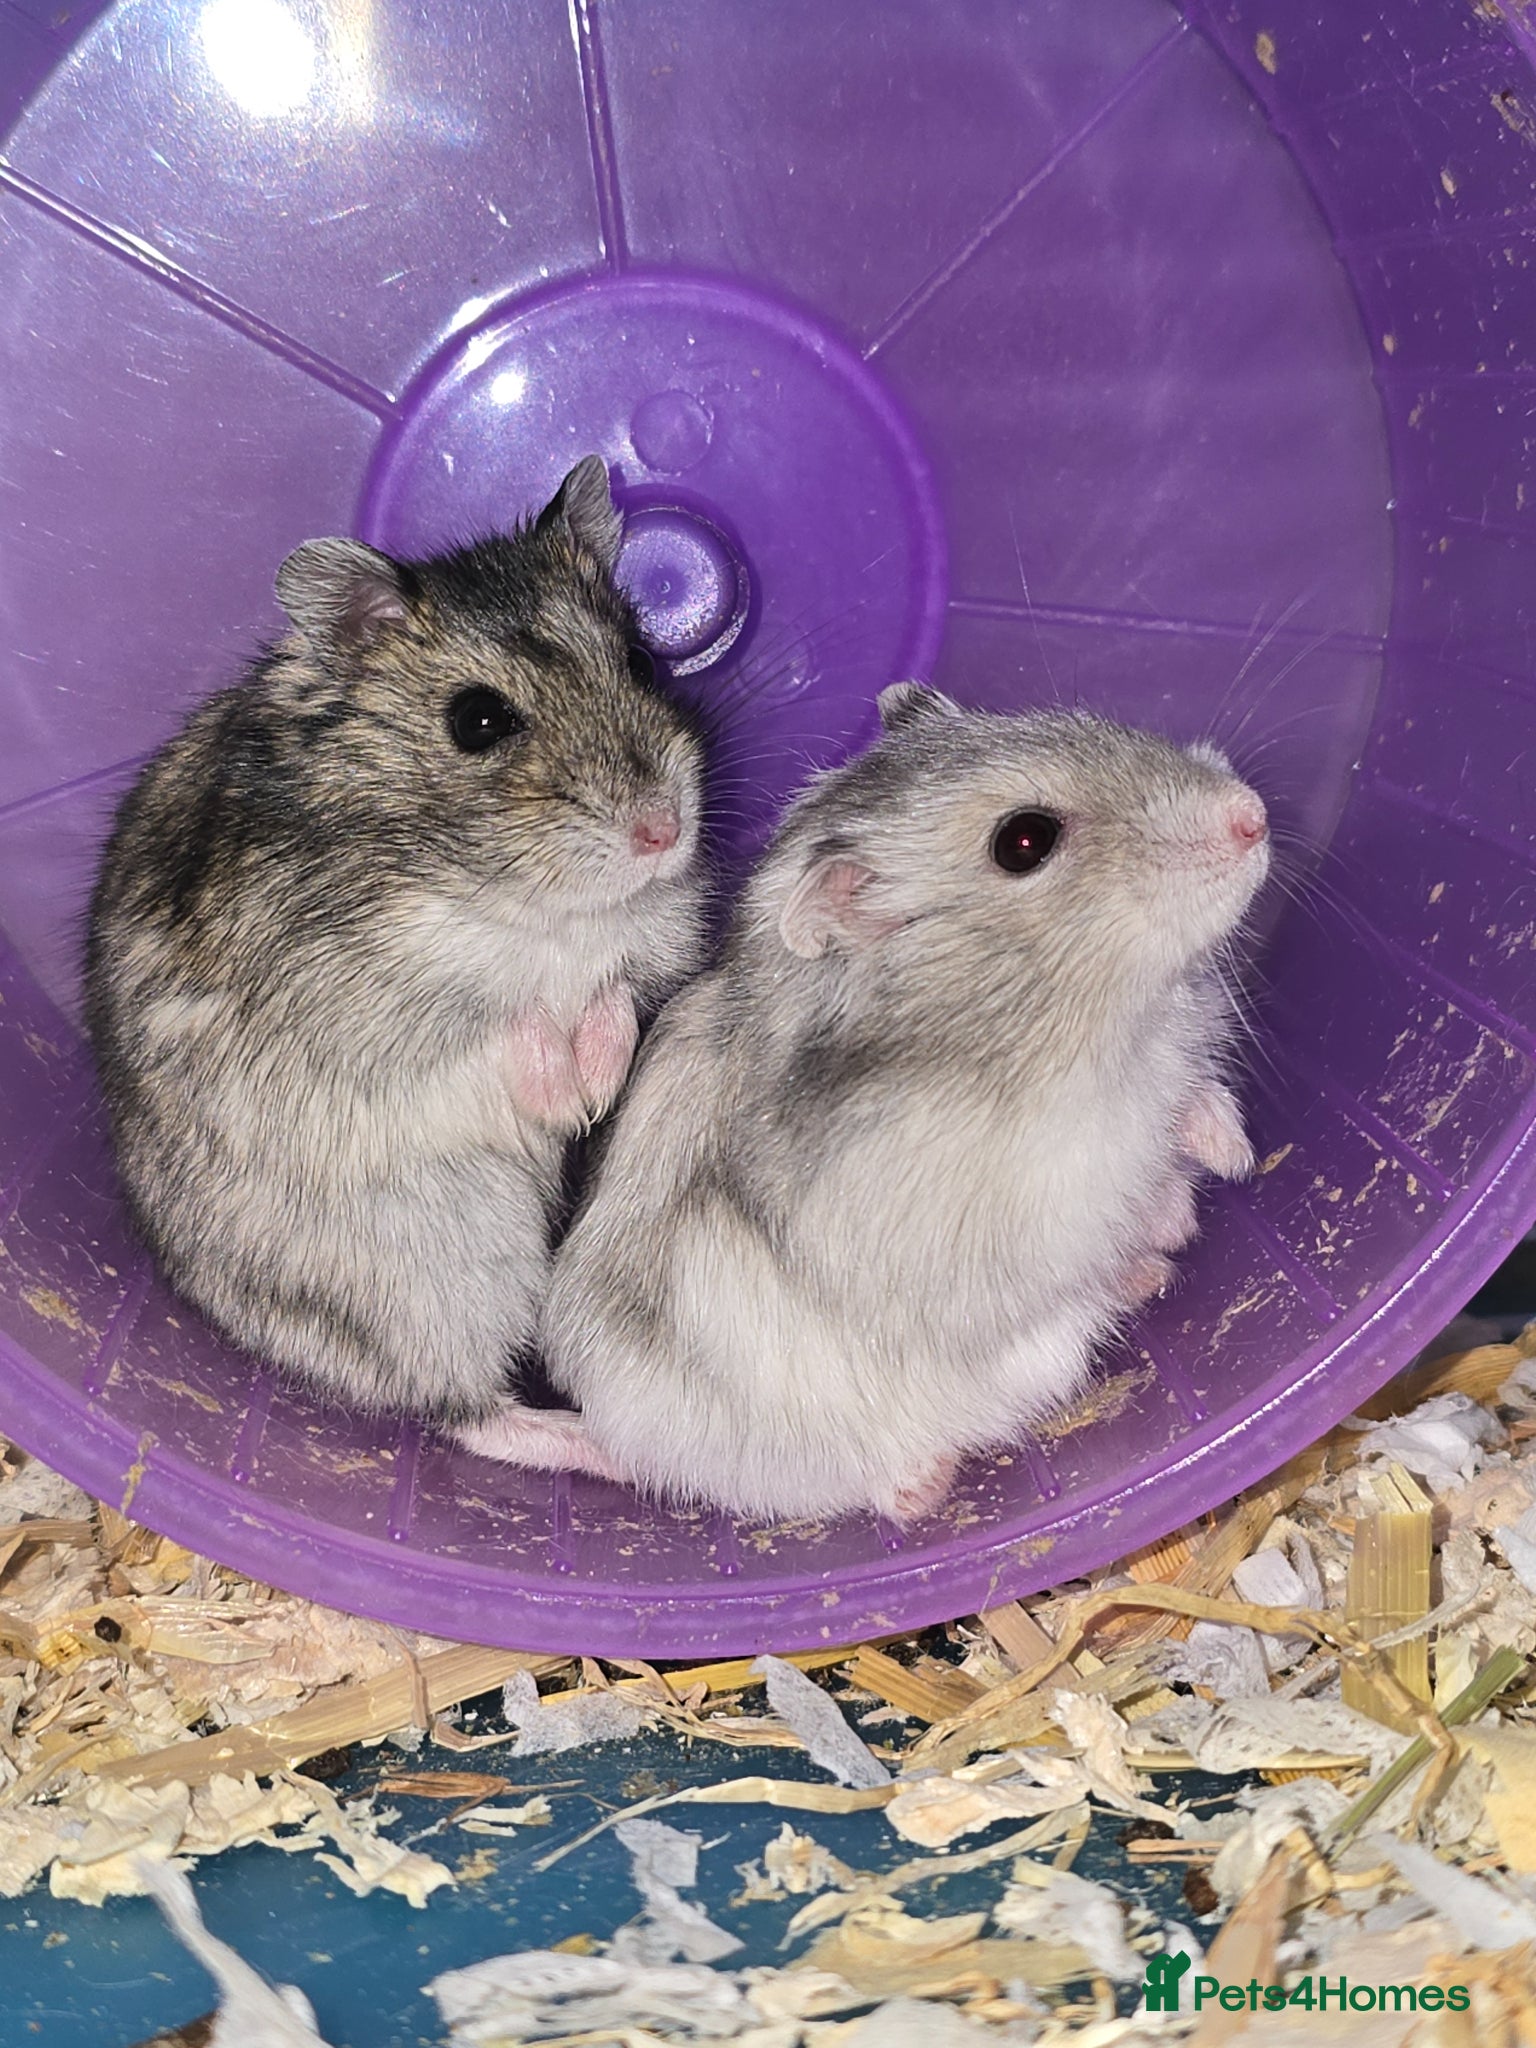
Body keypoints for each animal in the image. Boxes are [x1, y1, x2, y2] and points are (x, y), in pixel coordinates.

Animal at [85, 457, 706, 1469]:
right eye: (478, 720)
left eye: (643, 662)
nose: (663, 830)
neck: (529, 898)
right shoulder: (367, 1027)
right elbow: (506, 1032)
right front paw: (564, 1084)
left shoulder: (654, 953)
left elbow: (615, 995)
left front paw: (594, 1073)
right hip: (435, 1267)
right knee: (461, 1410)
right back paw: (605, 1450)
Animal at [541, 686, 1269, 1521]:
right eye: (1025, 842)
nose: (1253, 814)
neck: (1072, 1027)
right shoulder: (1036, 1213)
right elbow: (1098, 1225)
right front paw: (1190, 1203)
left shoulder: (1169, 1062)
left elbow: (1187, 1102)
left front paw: (1230, 1154)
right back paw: (927, 1481)